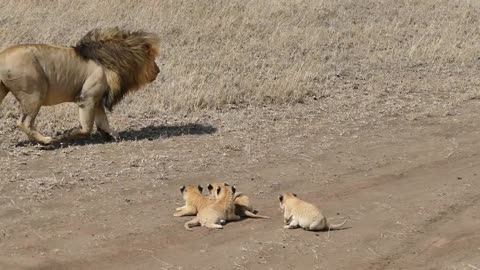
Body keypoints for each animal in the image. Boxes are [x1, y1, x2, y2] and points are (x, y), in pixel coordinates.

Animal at [0, 27, 160, 144]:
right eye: (152, 59)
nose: (158, 71)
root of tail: (2, 55)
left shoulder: (97, 100)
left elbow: (103, 122)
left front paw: (112, 135)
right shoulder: (87, 97)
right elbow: (86, 128)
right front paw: (65, 135)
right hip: (34, 93)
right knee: (24, 122)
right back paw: (46, 141)